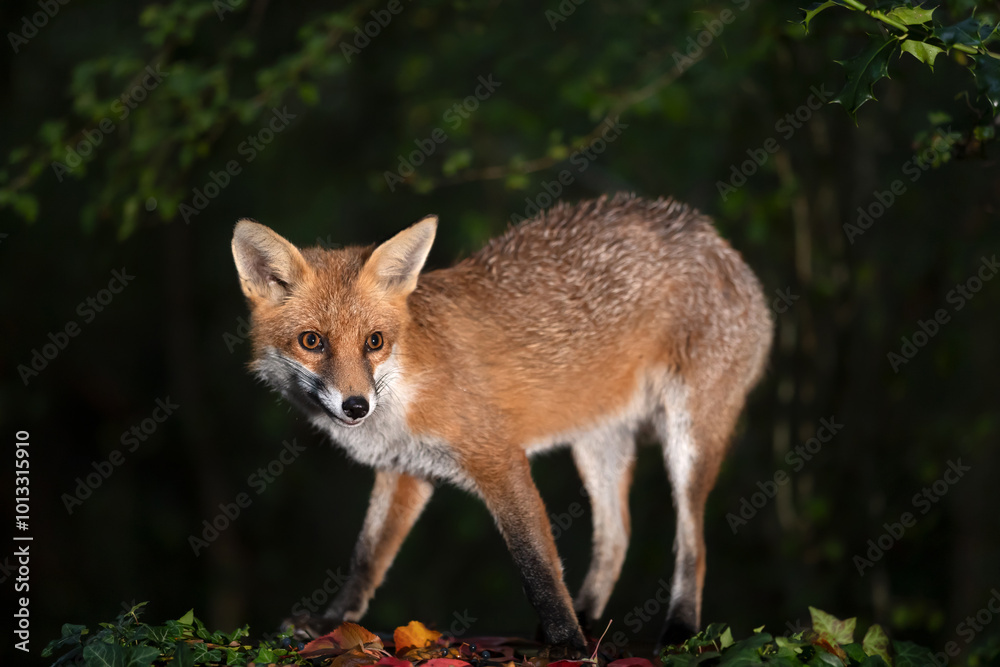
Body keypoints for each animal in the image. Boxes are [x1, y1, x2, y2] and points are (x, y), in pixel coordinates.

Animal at [231, 193, 772, 650]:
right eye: (312, 341)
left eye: (374, 342)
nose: (356, 406)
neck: (407, 385)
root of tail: (716, 241)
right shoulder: (406, 470)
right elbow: (367, 558)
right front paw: (333, 621)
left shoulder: (500, 459)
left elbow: (537, 565)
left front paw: (568, 643)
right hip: (597, 445)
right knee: (618, 534)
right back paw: (590, 616)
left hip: (688, 441)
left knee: (693, 543)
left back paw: (676, 628)